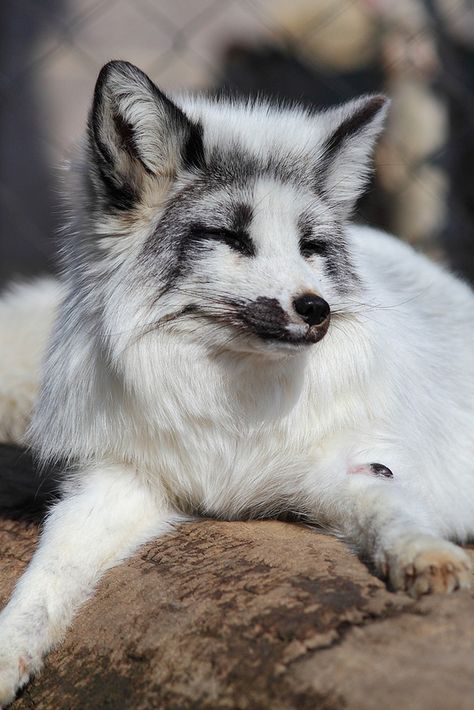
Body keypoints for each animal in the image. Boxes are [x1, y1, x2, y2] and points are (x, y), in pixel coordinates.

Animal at [0, 61, 474, 708]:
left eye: (310, 246)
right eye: (231, 237)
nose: (317, 308)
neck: (231, 406)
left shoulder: (346, 464)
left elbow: (392, 507)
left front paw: (425, 556)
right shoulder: (118, 478)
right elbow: (49, 570)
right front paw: (8, 648)